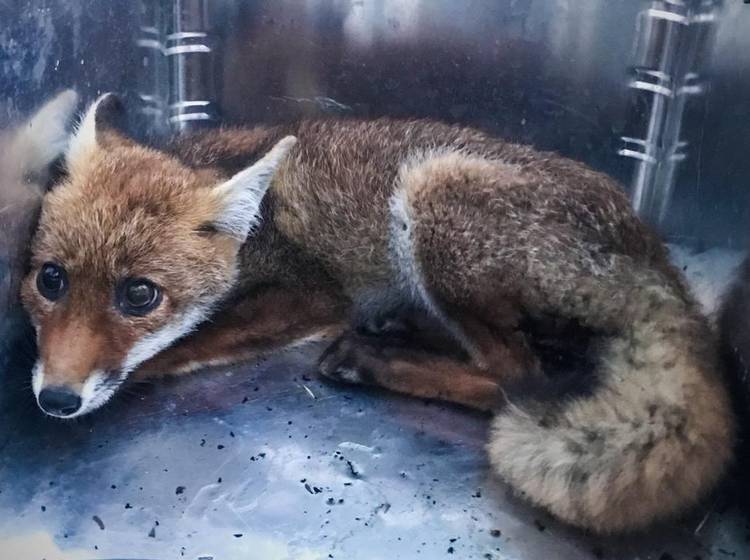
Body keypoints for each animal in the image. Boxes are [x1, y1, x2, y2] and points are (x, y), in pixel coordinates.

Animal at [21, 93, 735, 534]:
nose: (56, 400)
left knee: (520, 375)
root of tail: (653, 252)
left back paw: (376, 360)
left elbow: (187, 341)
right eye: (49, 280)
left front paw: (135, 371)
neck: (256, 232)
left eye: (139, 295)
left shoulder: (313, 294)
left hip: (433, 194)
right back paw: (398, 330)